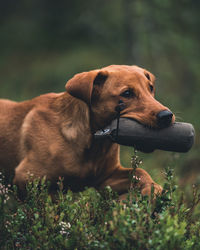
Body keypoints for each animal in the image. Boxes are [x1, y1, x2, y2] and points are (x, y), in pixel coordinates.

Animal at [0, 65, 175, 198]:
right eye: (127, 93)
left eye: (150, 88)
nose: (167, 116)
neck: (94, 143)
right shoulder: (26, 179)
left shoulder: (106, 178)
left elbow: (140, 172)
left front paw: (151, 190)